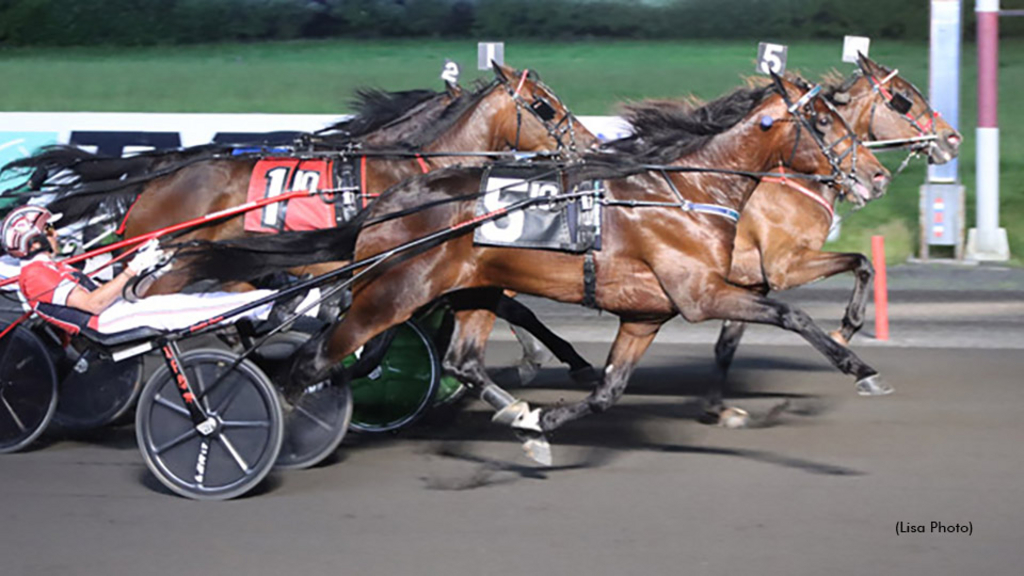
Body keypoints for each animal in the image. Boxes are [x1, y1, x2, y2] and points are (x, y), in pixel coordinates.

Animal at [188, 75, 892, 461]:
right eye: (821, 118)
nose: (873, 173)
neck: (686, 188)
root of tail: (392, 200)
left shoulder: (648, 313)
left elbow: (608, 391)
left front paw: (543, 423)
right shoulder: (701, 293)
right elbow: (792, 312)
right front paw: (860, 368)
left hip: (468, 290)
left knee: (461, 361)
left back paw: (514, 412)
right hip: (390, 294)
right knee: (315, 361)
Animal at [704, 54, 958, 422]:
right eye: (904, 97)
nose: (952, 139)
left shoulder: (754, 282)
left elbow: (727, 343)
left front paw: (717, 408)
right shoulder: (785, 267)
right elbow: (862, 262)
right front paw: (847, 336)